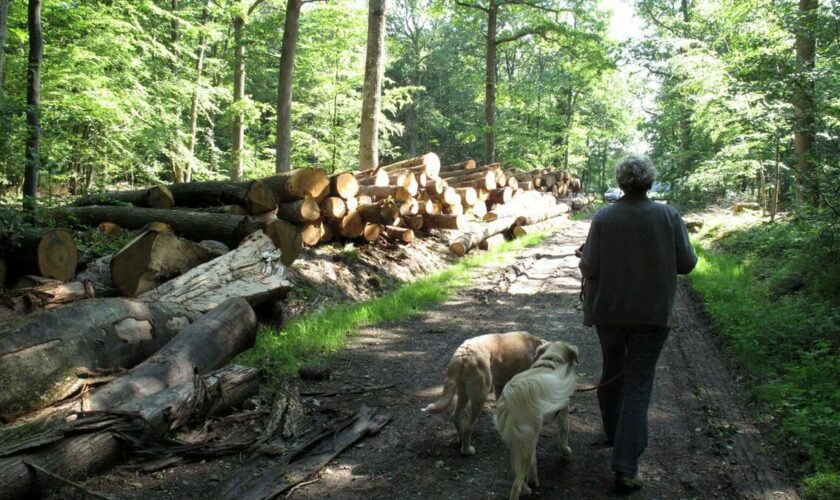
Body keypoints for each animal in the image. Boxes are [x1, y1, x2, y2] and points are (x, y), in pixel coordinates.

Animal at [492, 340, 576, 500]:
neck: (551, 360)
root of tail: (509, 399)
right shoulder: (563, 412)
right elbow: (564, 434)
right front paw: (567, 452)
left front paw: (532, 476)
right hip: (527, 440)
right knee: (516, 485)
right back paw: (524, 490)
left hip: (516, 440)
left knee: (516, 468)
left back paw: (528, 485)